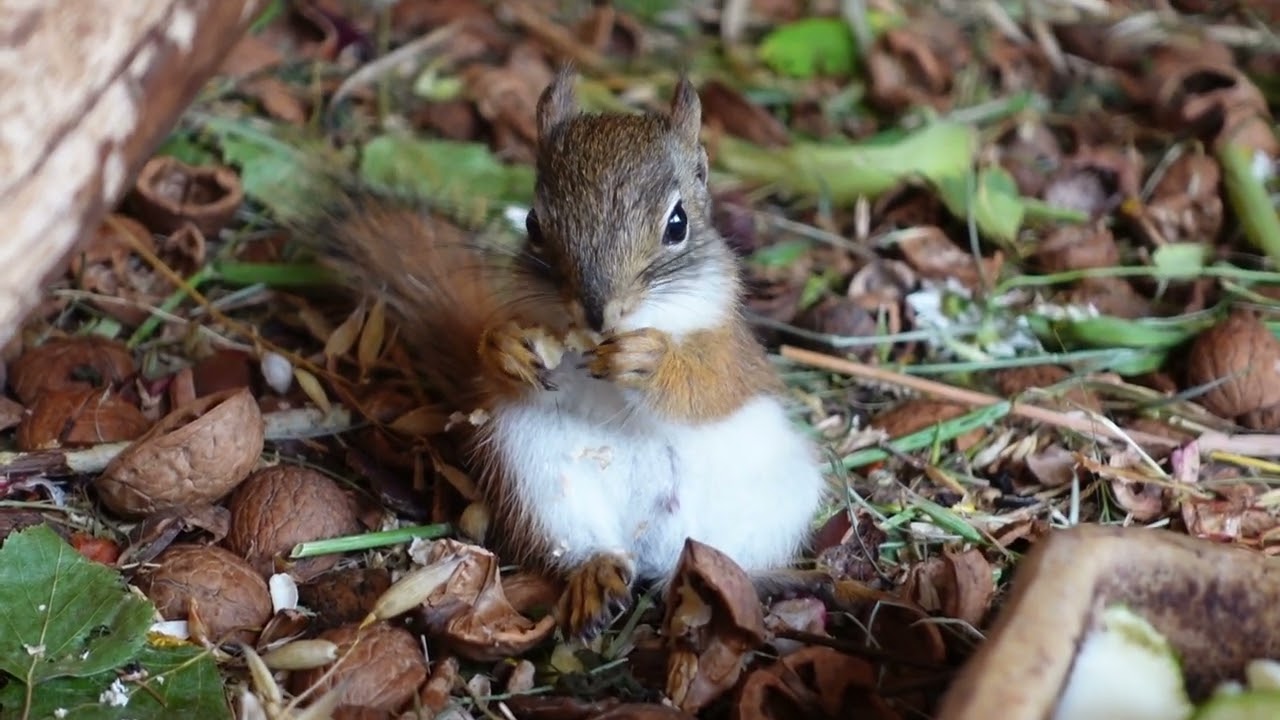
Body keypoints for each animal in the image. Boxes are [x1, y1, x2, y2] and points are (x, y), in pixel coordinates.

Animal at [303, 68, 834, 641]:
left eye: (678, 224)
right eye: (533, 223)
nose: (600, 314)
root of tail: (655, 548)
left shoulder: (732, 349)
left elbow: (707, 384)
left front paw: (649, 361)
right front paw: (507, 348)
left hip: (777, 495)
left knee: (732, 558)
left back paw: (756, 584)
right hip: (535, 477)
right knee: (586, 544)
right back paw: (598, 576)